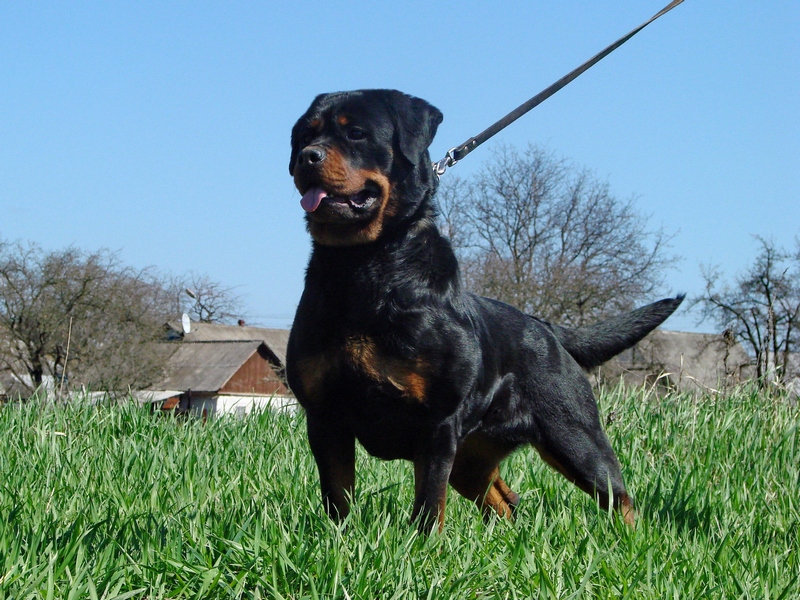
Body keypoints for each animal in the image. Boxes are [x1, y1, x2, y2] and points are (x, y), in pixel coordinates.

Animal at [285, 89, 683, 531]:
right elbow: (337, 498)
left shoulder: (437, 424)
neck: (363, 265)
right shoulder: (326, 418)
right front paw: (338, 537)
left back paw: (631, 538)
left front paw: (421, 542)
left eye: (356, 133)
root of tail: (547, 328)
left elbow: (429, 504)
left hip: (573, 434)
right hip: (472, 457)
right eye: (305, 136)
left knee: (619, 497)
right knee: (505, 501)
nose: (308, 157)